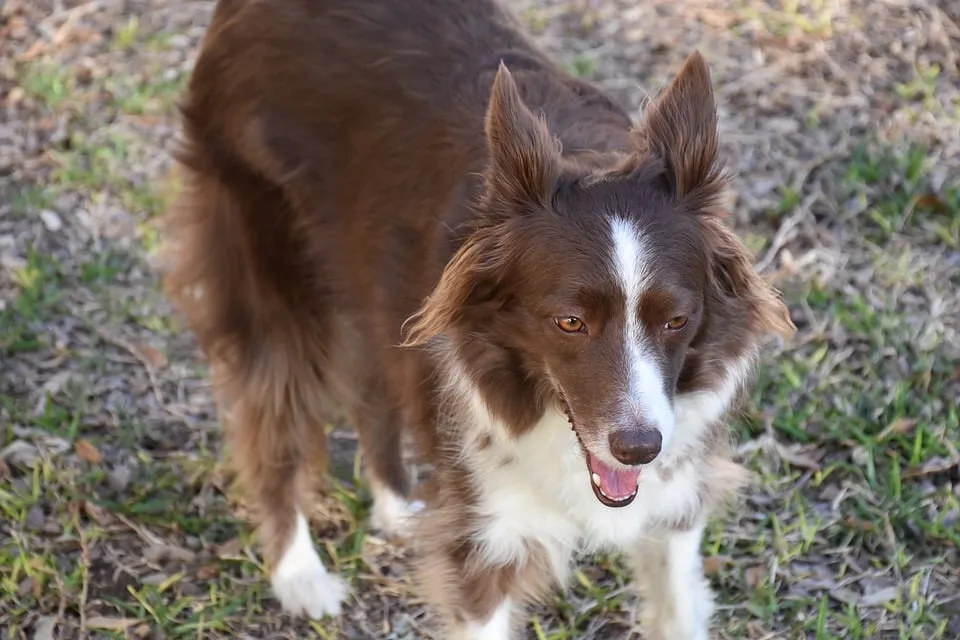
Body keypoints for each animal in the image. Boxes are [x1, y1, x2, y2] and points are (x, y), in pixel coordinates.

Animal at [165, 0, 796, 636]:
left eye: (676, 321)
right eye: (570, 322)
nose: (639, 450)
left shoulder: (672, 508)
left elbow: (676, 604)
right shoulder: (488, 534)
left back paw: (397, 505)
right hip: (266, 254)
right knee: (274, 410)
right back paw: (299, 574)